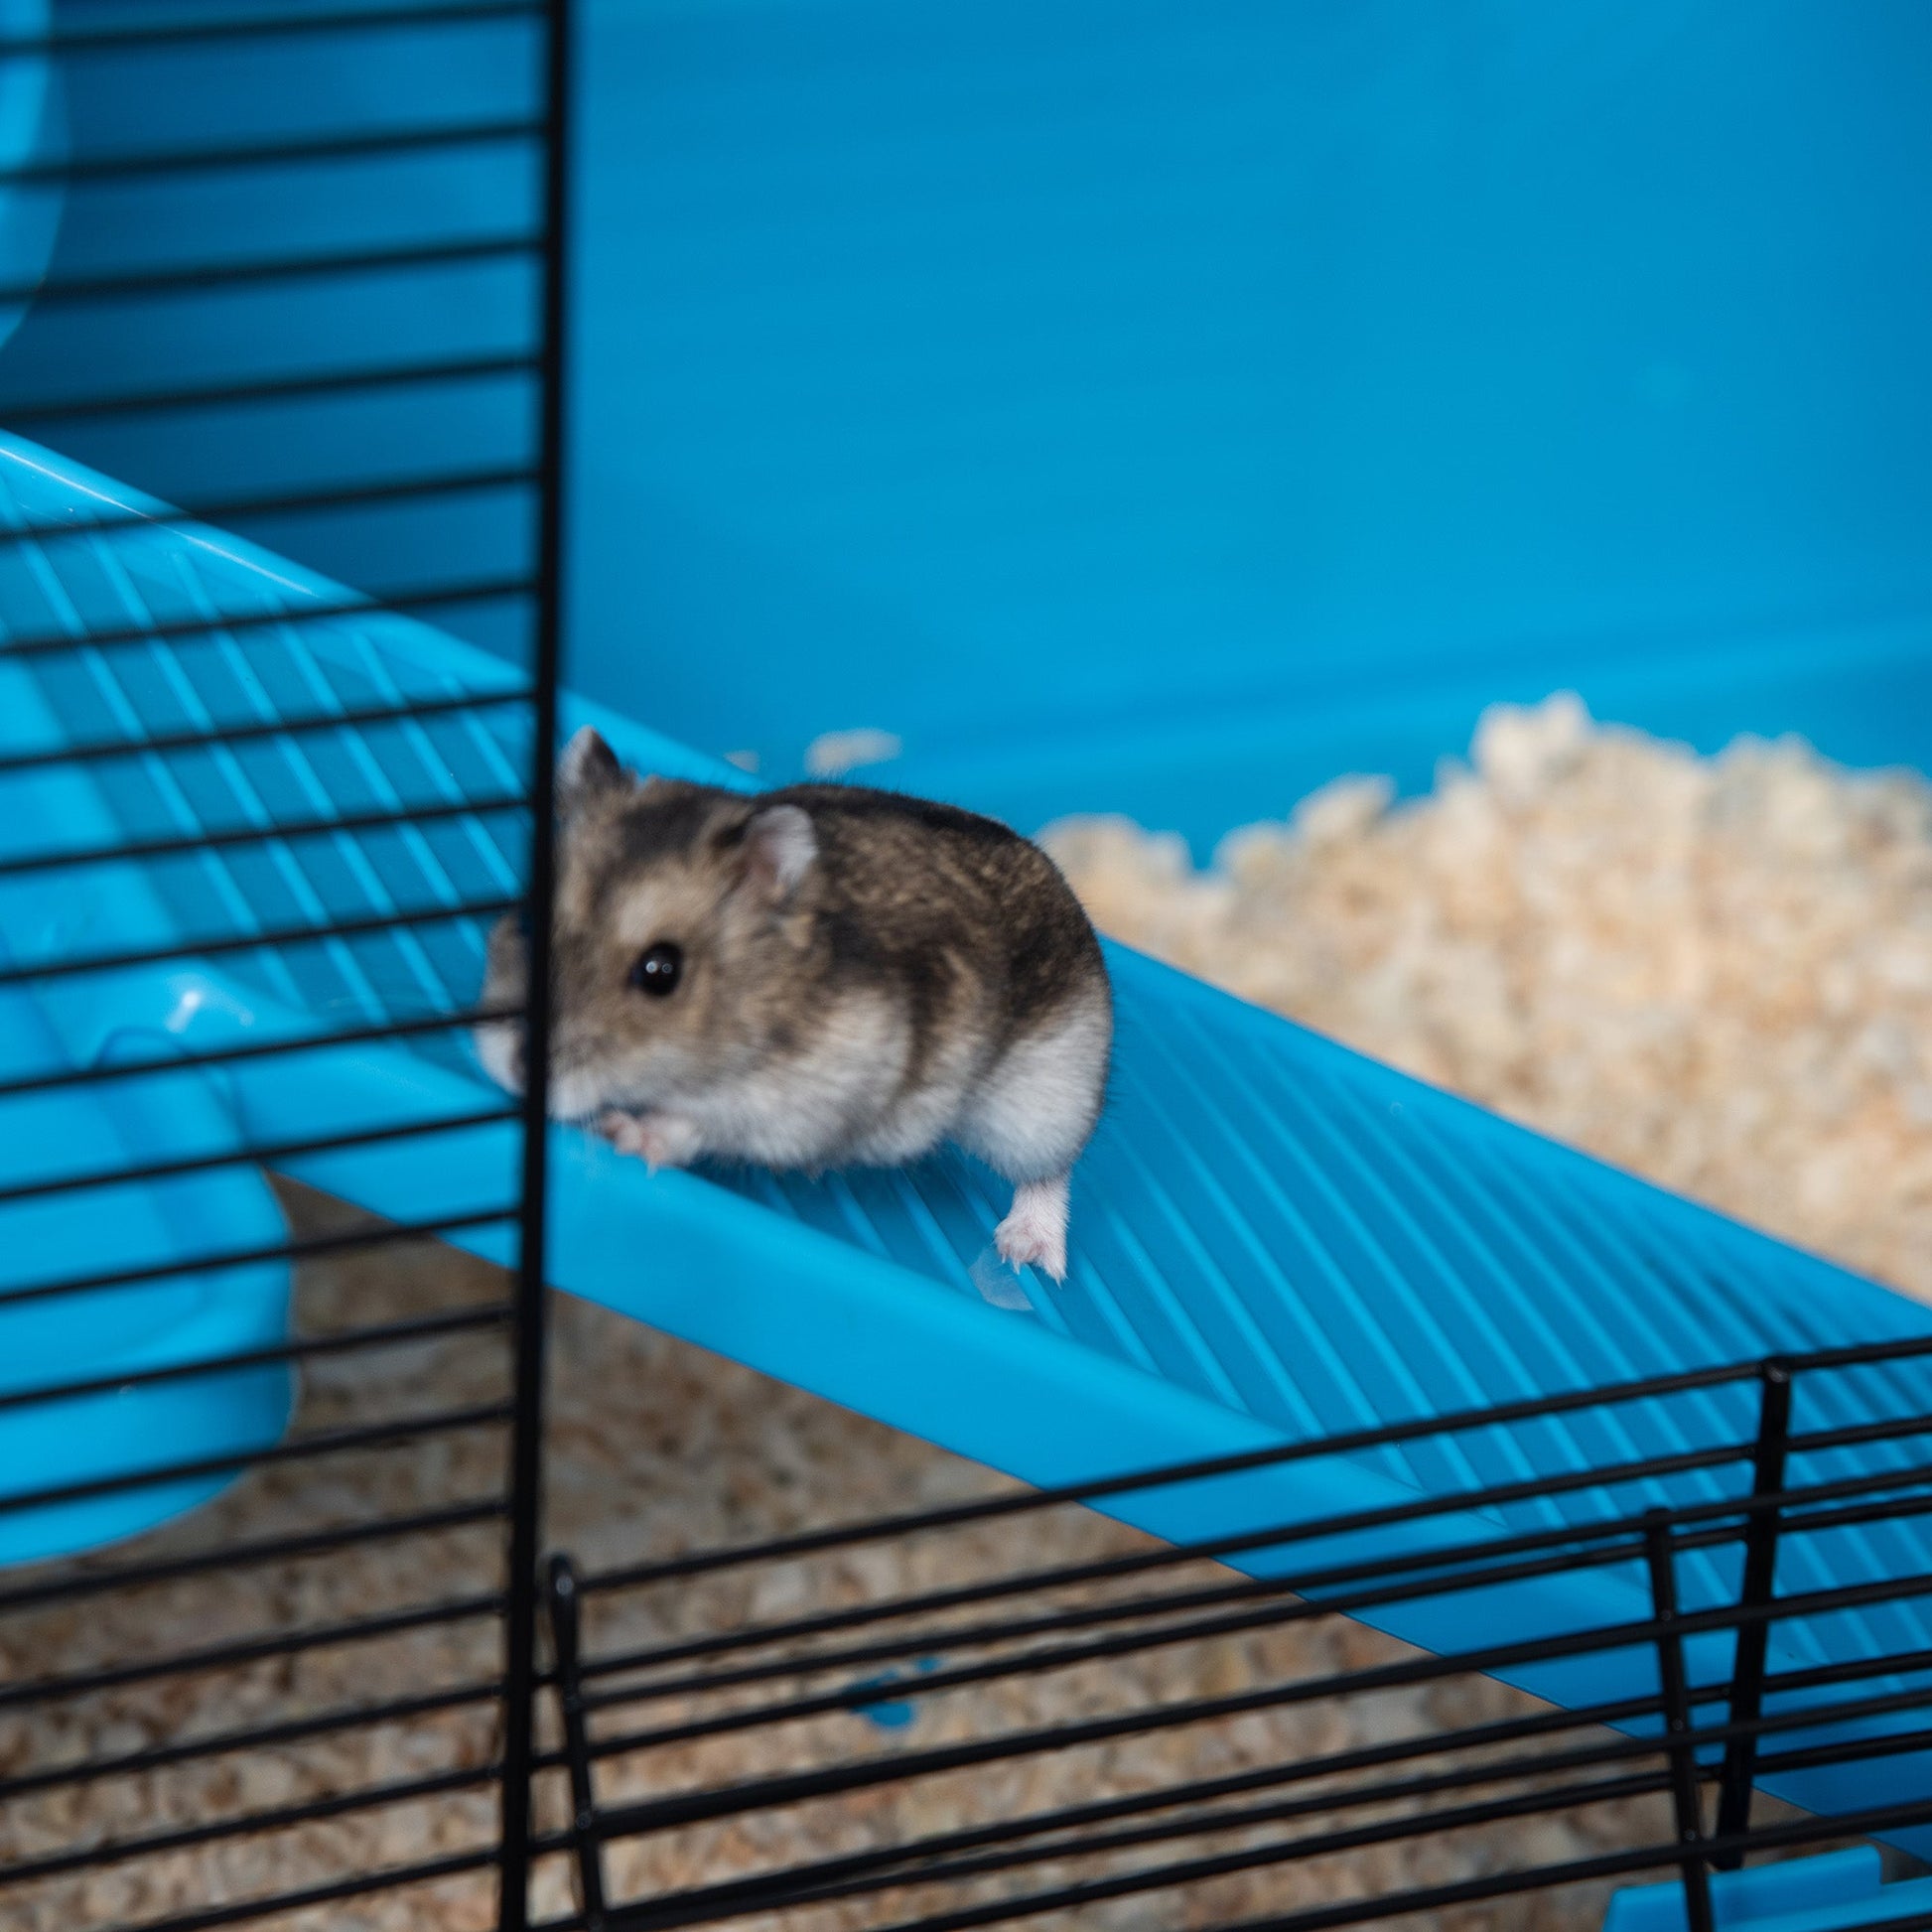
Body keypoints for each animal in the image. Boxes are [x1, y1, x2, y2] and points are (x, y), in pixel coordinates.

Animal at [475, 726, 1120, 1283]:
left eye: (661, 972)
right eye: (526, 918)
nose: (516, 1071)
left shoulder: (811, 1094)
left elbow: (700, 1122)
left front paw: (630, 1133)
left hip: (1043, 1099)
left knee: (1052, 1169)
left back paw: (1027, 1252)